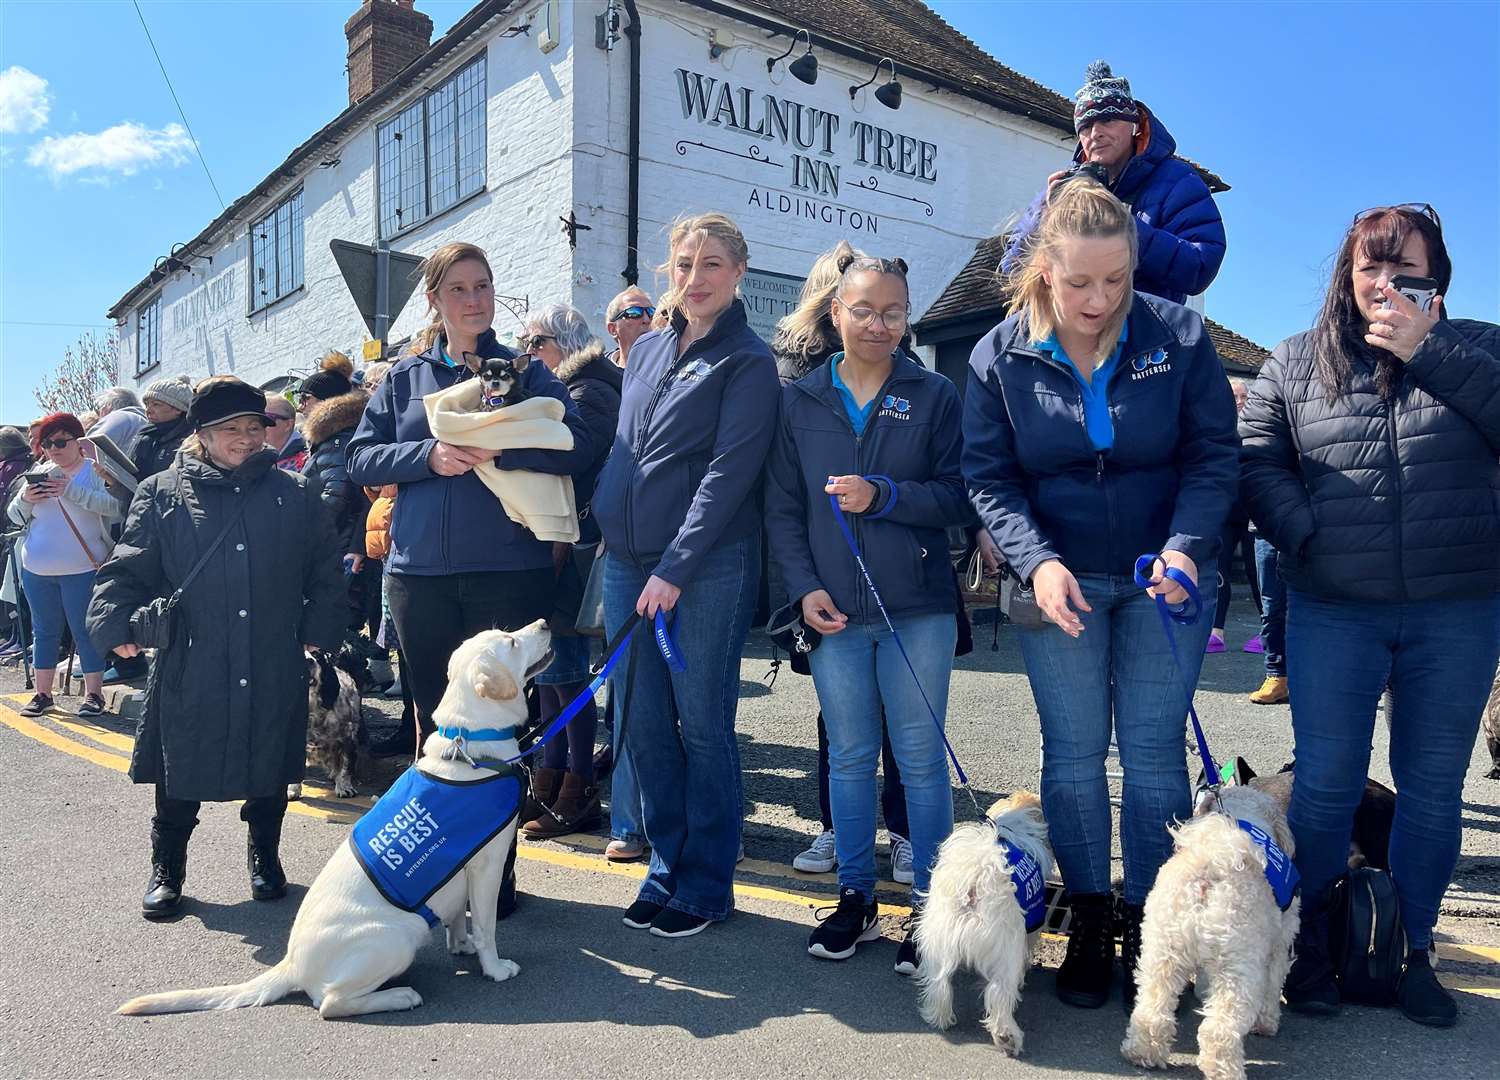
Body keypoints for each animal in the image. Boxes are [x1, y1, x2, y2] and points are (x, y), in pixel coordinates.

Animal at [114, 624, 555, 1020]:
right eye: (512, 642)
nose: (545, 624)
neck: (469, 745)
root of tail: (291, 964)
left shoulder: (463, 875)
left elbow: (458, 920)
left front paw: (461, 946)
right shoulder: (487, 865)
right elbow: (486, 927)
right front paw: (494, 968)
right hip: (399, 935)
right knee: (329, 1003)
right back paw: (399, 996)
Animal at [912, 792, 1056, 1056]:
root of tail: (974, 884)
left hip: (938, 940)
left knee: (939, 982)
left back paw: (938, 1017)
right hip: (1005, 951)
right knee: (999, 993)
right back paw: (1007, 1036)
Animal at [1116, 786, 1302, 1080]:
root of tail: (1215, 862)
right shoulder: (1279, 945)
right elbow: (1273, 988)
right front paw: (1267, 1023)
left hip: (1161, 952)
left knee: (1151, 1009)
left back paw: (1142, 1053)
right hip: (1238, 968)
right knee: (1219, 1029)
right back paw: (1224, 1070)